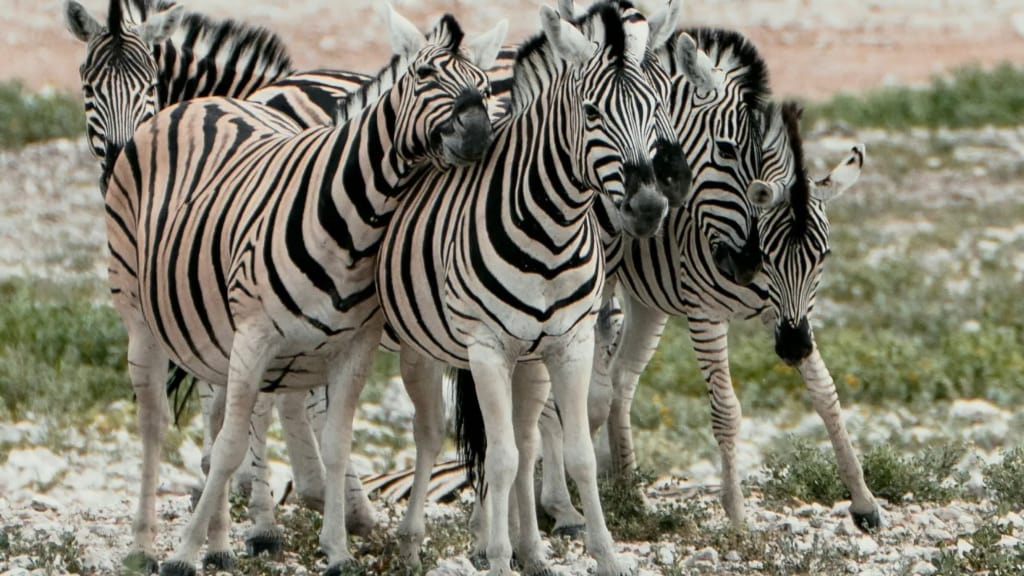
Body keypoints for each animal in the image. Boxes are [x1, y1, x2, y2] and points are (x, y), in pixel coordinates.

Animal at [101, 3, 505, 572]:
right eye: (424, 75)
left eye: (485, 88)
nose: (477, 137)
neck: (359, 224)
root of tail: (201, 104)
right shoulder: (255, 337)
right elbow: (231, 448)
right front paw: (182, 553)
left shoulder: (352, 347)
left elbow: (334, 444)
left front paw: (336, 549)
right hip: (141, 315)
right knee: (154, 423)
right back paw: (144, 543)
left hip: (214, 337)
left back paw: (220, 543)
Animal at [376, 4, 683, 574]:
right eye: (592, 113)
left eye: (655, 109)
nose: (649, 208)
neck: (552, 232)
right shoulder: (487, 349)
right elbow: (499, 459)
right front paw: (497, 557)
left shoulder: (569, 344)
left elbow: (574, 453)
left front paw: (604, 554)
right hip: (422, 349)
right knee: (431, 435)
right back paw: (412, 543)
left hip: (529, 360)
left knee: (522, 436)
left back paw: (530, 549)